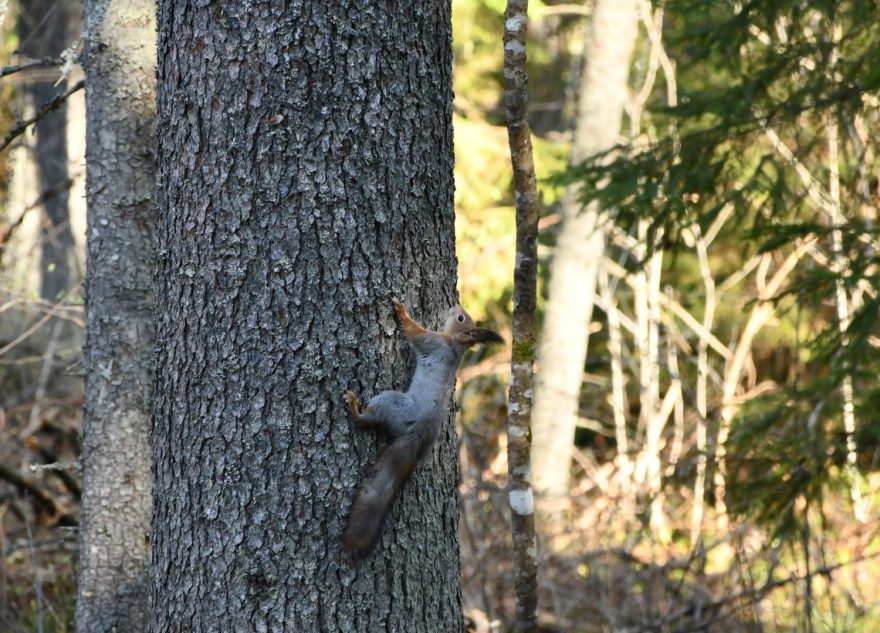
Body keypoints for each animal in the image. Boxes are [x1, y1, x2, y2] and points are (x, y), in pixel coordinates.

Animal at [342, 299, 503, 558]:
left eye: (461, 319)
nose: (454, 306)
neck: (455, 345)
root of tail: (419, 436)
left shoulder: (432, 342)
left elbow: (413, 332)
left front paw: (401, 311)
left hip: (393, 403)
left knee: (369, 418)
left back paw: (356, 409)